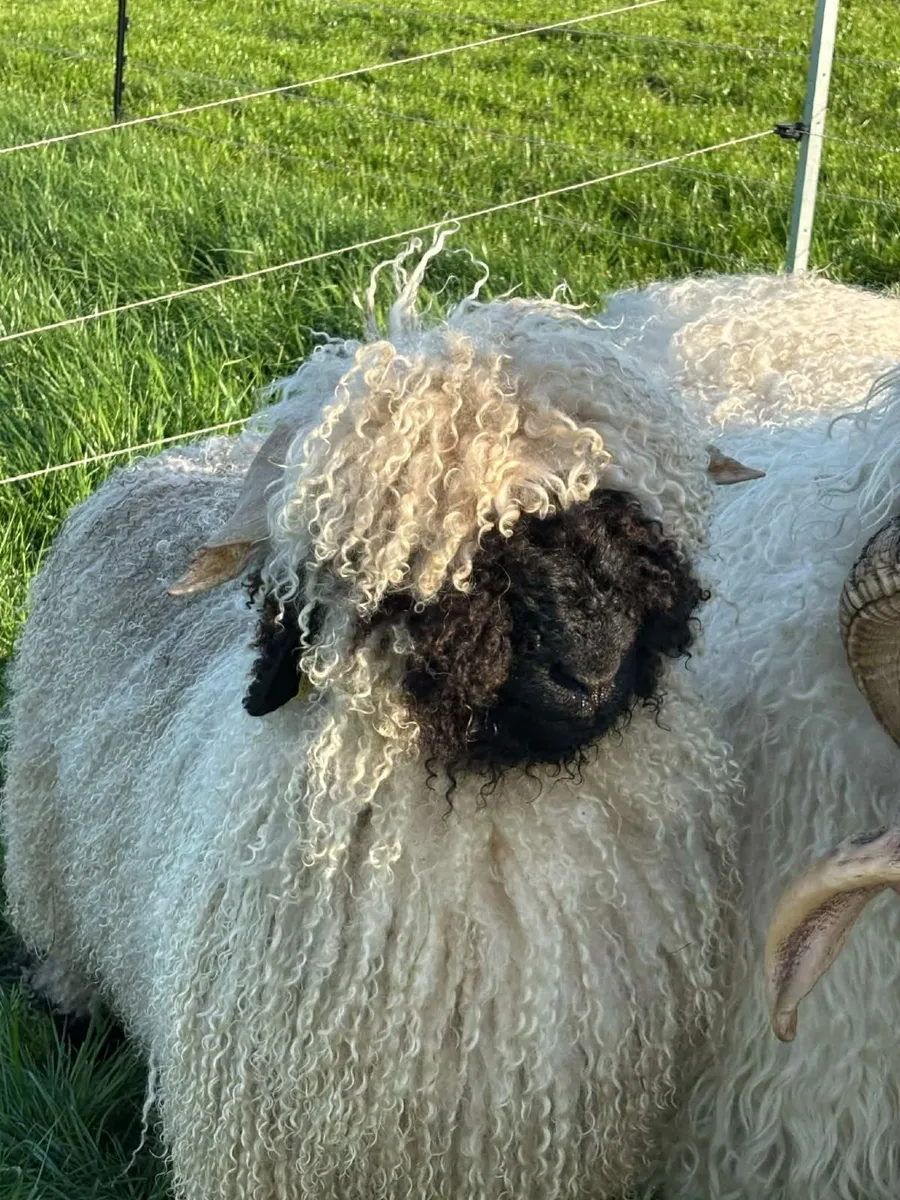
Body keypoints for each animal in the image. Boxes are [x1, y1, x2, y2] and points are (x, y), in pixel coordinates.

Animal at [0, 235, 746, 1200]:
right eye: (421, 580)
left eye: (618, 522)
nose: (588, 671)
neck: (498, 806)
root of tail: (160, 462)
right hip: (47, 850)